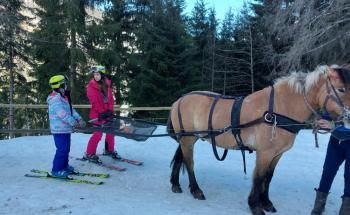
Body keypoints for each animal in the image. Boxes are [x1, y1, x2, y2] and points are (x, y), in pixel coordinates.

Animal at [166, 65, 350, 215]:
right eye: (341, 89)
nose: (348, 118)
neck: (278, 110)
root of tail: (179, 100)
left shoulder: (277, 154)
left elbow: (268, 177)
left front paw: (266, 203)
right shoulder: (264, 153)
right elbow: (259, 177)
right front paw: (255, 206)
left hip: (188, 139)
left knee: (180, 159)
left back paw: (175, 184)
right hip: (188, 139)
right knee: (189, 163)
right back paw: (196, 190)